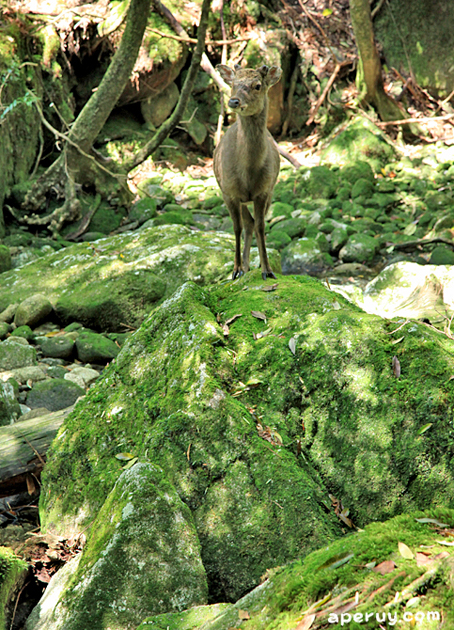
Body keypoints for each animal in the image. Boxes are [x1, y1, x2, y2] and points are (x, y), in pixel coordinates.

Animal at [212, 65, 280, 282]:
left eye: (257, 85)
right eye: (233, 83)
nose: (234, 101)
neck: (248, 174)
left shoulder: (264, 191)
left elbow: (261, 226)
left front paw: (268, 270)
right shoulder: (228, 192)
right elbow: (236, 227)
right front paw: (235, 270)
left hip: (270, 191)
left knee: (253, 223)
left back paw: (250, 266)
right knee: (246, 223)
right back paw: (244, 267)